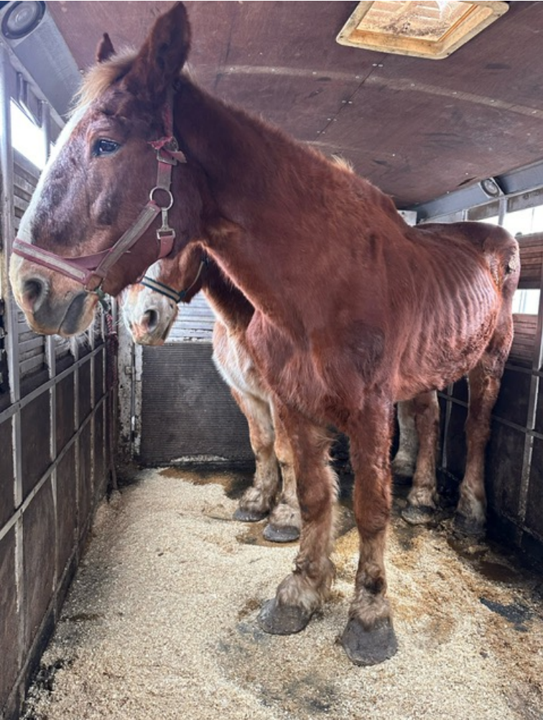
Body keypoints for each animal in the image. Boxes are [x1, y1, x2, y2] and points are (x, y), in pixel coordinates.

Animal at [121, 243, 301, 543]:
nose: (139, 321)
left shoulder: (285, 399)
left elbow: (287, 452)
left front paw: (289, 515)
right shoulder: (245, 392)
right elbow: (261, 443)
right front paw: (257, 501)